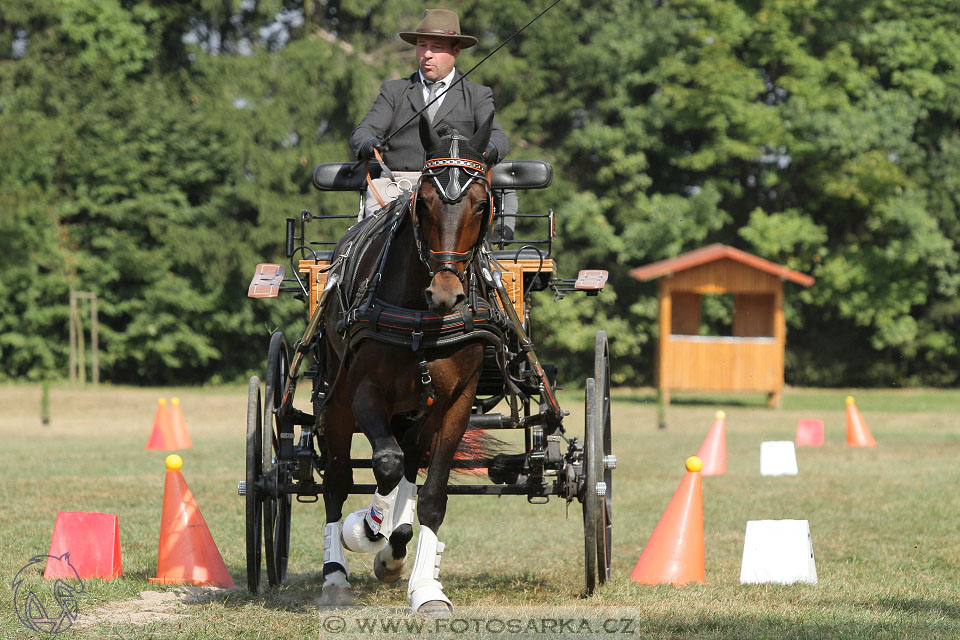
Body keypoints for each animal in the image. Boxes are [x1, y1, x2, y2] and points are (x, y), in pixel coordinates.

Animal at [316, 115, 498, 616]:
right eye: (425, 203)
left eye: (481, 205)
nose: (446, 294)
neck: (421, 316)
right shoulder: (364, 392)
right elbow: (385, 462)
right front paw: (365, 528)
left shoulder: (456, 401)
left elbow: (430, 493)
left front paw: (425, 586)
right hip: (337, 399)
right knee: (337, 480)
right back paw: (336, 572)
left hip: (418, 410)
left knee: (413, 463)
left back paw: (396, 549)